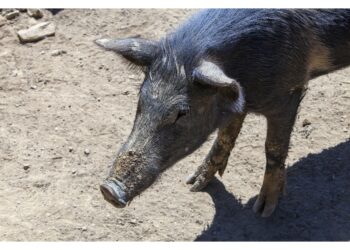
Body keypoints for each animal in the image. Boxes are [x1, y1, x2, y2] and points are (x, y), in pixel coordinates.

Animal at [95, 9, 350, 217]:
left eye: (182, 112)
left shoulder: (289, 92)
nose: (108, 190)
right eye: (141, 98)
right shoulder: (234, 97)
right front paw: (194, 184)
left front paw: (263, 210)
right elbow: (225, 135)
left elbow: (273, 147)